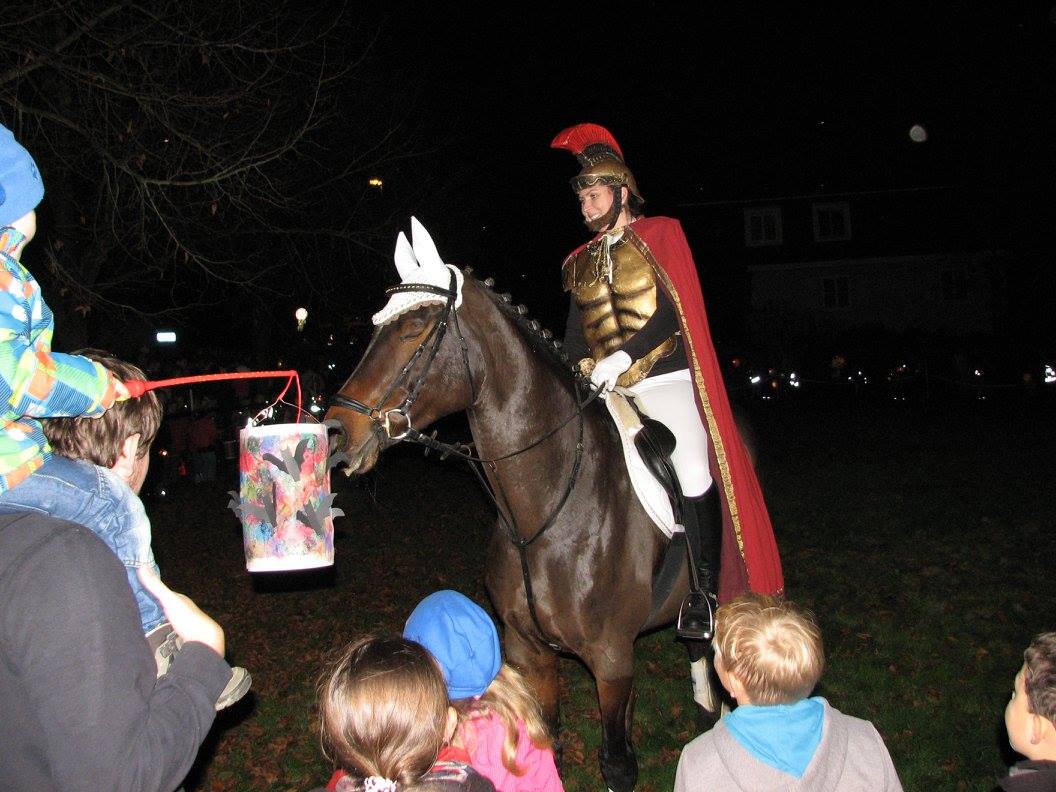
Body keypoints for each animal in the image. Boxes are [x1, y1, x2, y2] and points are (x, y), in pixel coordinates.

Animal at [327, 218, 726, 792]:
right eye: (379, 323)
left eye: (417, 325)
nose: (338, 430)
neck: (543, 512)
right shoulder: (528, 652)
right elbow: (548, 741)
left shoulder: (612, 660)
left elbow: (618, 764)